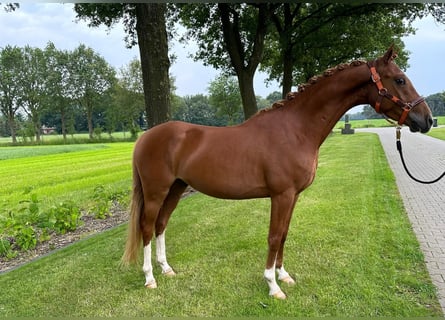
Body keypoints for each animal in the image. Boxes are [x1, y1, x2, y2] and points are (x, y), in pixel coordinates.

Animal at [121, 46, 430, 298]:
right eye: (400, 79)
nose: (426, 120)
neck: (295, 129)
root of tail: (146, 137)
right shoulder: (281, 195)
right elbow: (273, 235)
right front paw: (272, 285)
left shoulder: (293, 196)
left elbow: (283, 234)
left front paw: (284, 276)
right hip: (156, 191)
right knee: (147, 227)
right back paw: (150, 278)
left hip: (176, 188)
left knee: (161, 225)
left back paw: (166, 269)